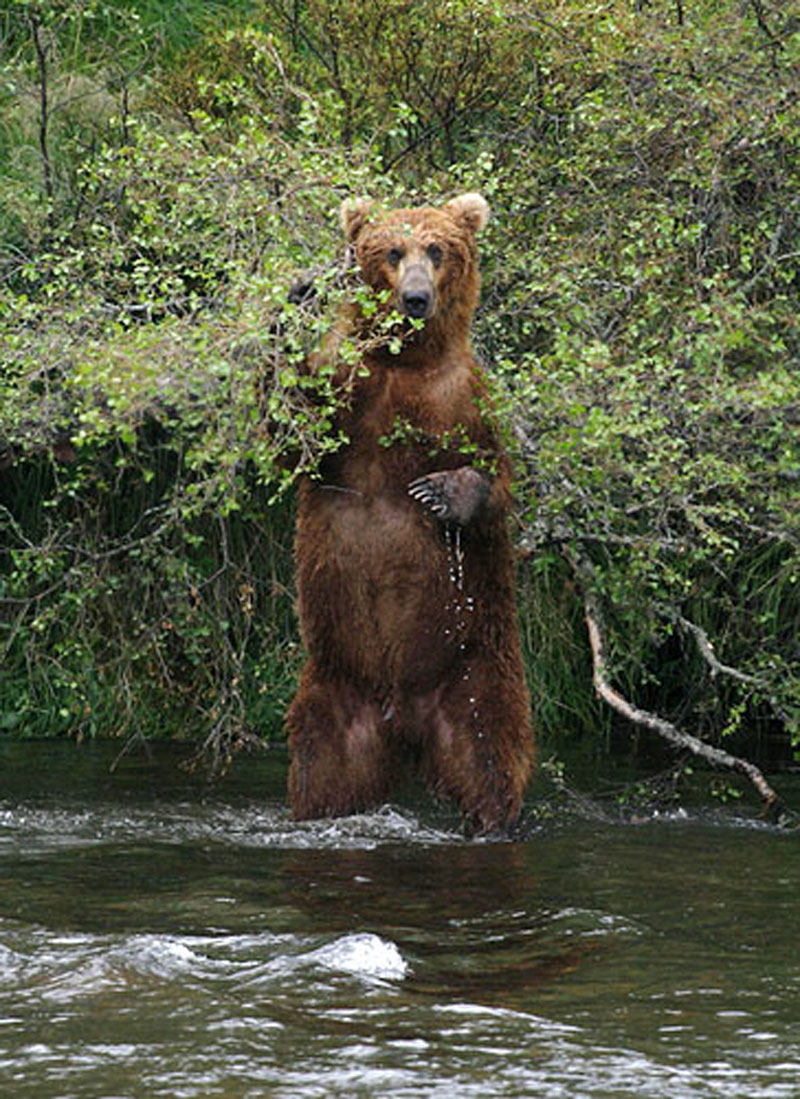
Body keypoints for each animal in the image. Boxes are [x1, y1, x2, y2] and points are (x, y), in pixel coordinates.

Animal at [285, 193, 535, 833]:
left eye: (438, 249)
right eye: (393, 251)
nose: (416, 297)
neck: (404, 363)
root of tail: (402, 717)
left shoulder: (464, 399)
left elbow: (498, 477)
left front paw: (438, 493)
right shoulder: (348, 387)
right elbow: (297, 434)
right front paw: (294, 307)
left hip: (474, 671)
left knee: (490, 756)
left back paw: (492, 818)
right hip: (336, 684)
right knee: (323, 768)